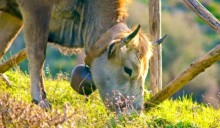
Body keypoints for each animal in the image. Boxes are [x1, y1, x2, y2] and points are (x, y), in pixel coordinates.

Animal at [0, 0, 165, 114]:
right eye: (128, 70)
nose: (134, 113)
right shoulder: (36, 10)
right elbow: (37, 54)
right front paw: (41, 100)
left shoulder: (13, 15)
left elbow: (3, 45)